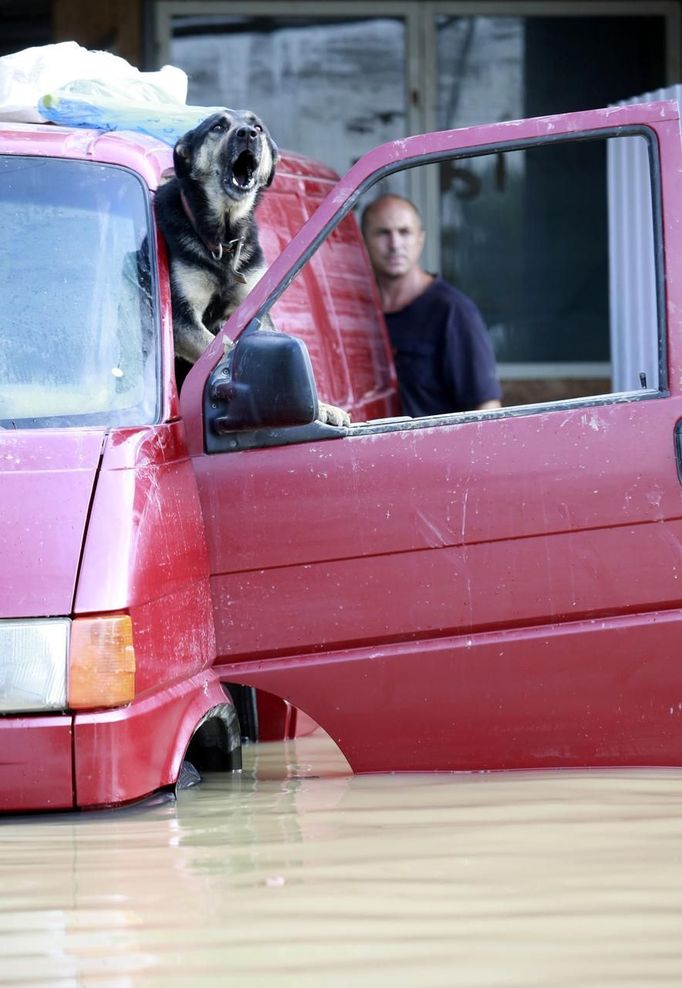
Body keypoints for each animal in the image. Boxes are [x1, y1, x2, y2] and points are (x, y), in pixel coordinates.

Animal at [153, 109, 346, 424]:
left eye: (258, 127)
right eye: (217, 126)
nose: (248, 134)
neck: (222, 238)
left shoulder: (256, 310)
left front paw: (324, 405)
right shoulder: (182, 319)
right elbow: (217, 349)